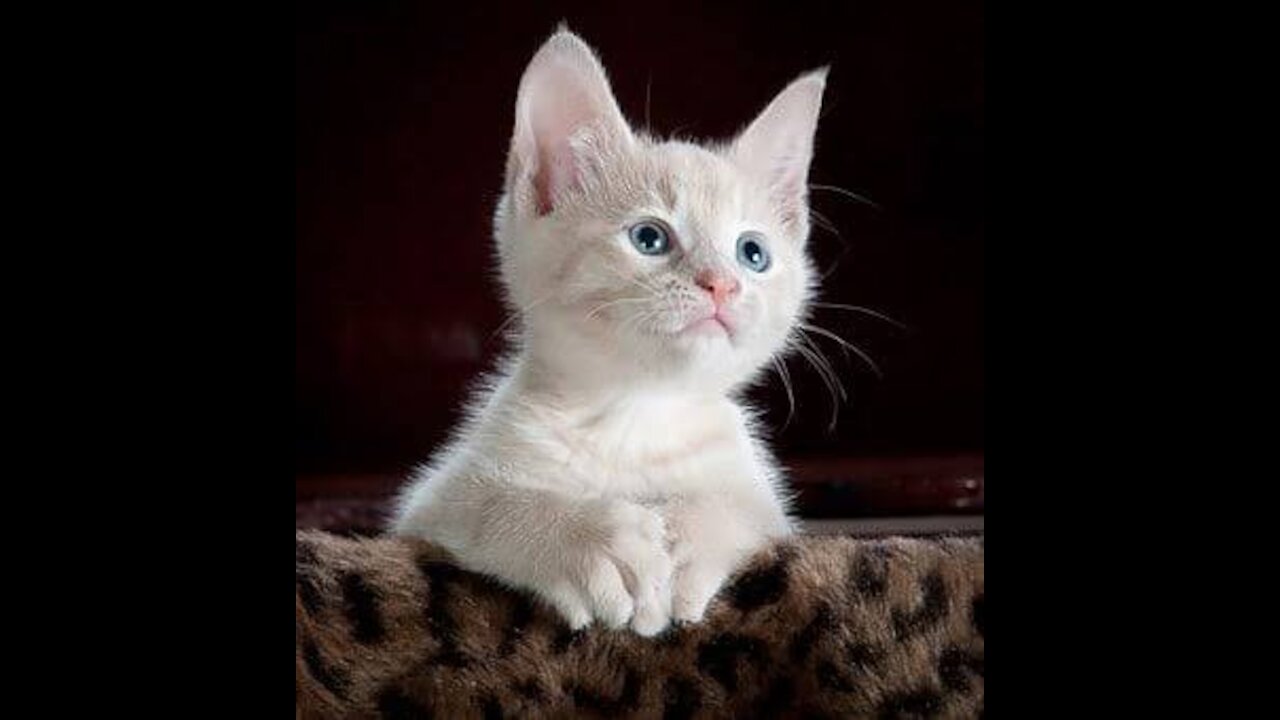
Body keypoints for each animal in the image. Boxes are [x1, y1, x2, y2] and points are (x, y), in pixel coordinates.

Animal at [394, 28, 824, 632]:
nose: (722, 284)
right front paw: (585, 540)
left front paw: (690, 537)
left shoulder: (765, 504)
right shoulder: (429, 505)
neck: (636, 413)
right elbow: (487, 503)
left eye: (752, 253)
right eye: (649, 238)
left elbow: (742, 507)